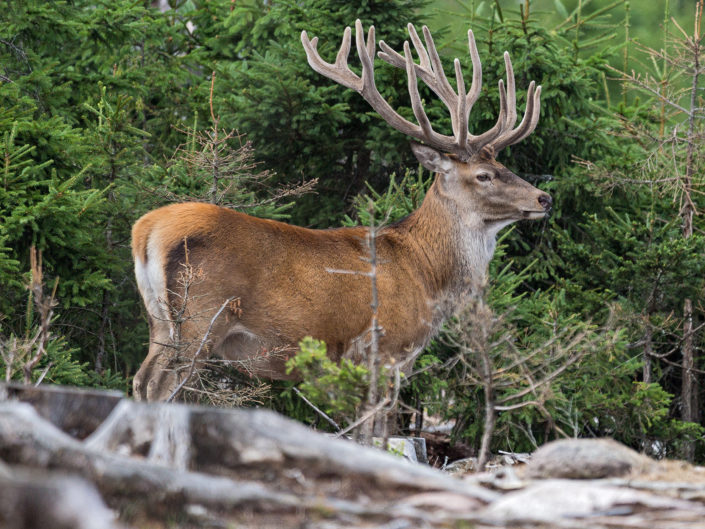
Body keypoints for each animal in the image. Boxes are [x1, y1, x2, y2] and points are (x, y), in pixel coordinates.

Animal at [131, 20, 552, 401]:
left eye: (504, 166)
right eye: (484, 175)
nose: (543, 198)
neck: (426, 272)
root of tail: (147, 231)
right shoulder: (385, 349)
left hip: (159, 320)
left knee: (140, 378)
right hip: (198, 317)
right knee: (158, 385)